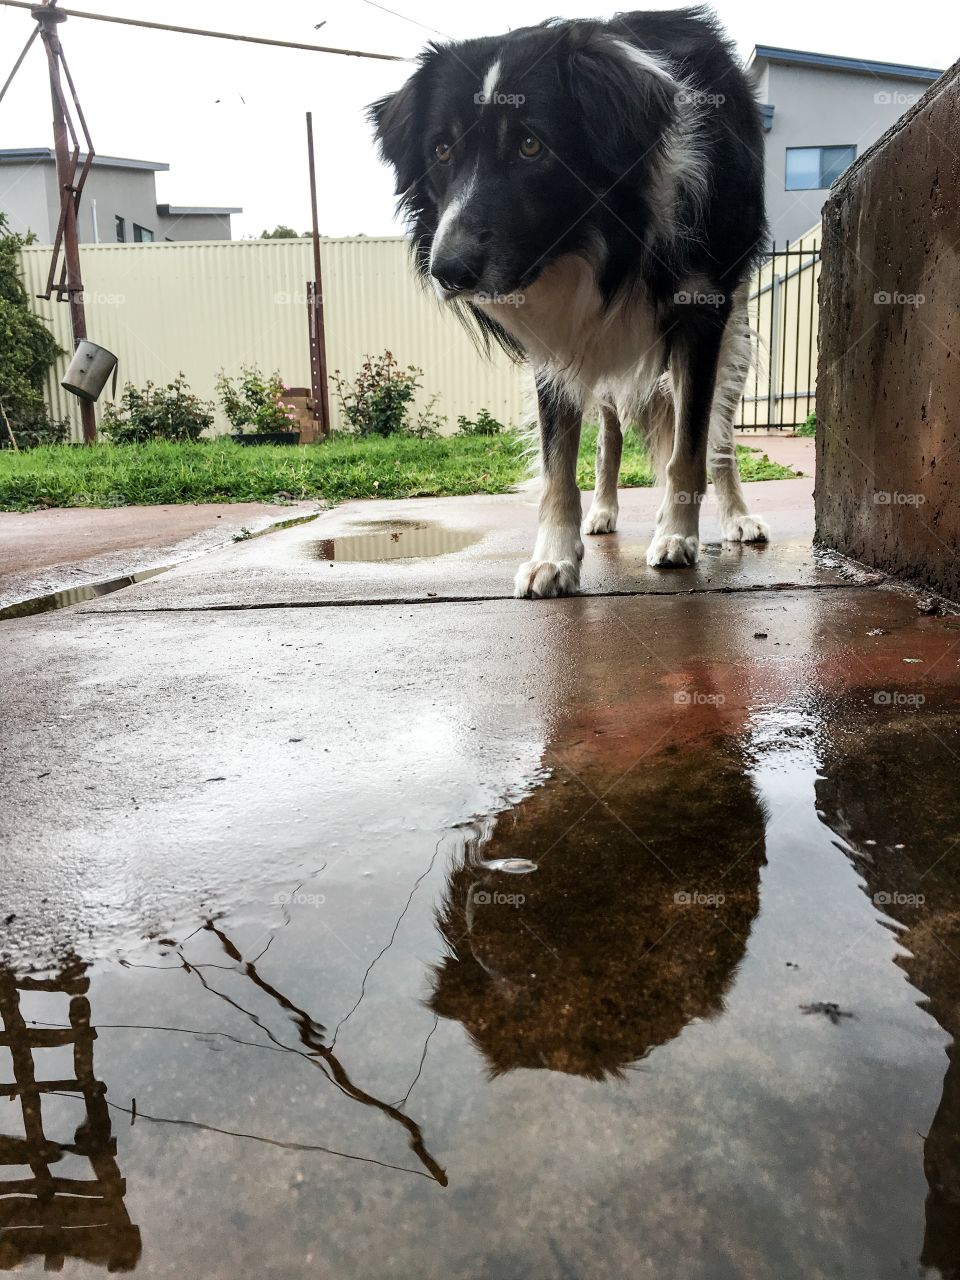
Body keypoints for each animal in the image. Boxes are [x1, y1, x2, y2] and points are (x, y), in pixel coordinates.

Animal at [371, 7, 773, 596]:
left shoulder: (702, 316)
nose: (448, 271)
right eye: (441, 151)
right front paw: (554, 558)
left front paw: (678, 536)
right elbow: (558, 464)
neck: (598, 244)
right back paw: (603, 512)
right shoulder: (555, 337)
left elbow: (690, 447)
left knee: (717, 435)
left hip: (734, 333)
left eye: (531, 145)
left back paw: (737, 516)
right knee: (609, 437)